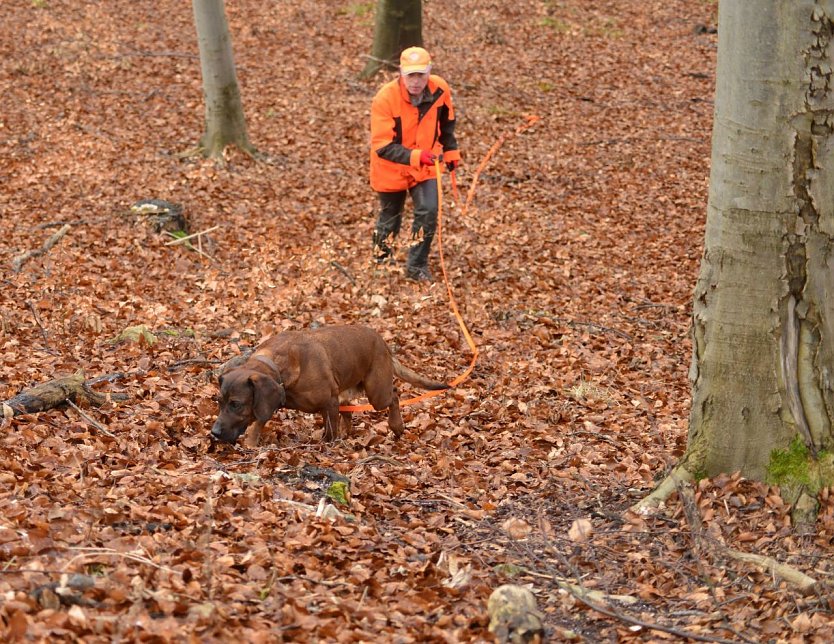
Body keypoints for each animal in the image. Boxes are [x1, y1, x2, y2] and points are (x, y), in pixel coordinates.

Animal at [211, 324, 448, 446]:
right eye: (219, 402)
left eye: (236, 404)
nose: (214, 432)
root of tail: (383, 342)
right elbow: (258, 421)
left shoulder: (329, 402)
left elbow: (330, 431)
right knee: (350, 409)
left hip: (376, 393)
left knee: (395, 394)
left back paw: (396, 425)